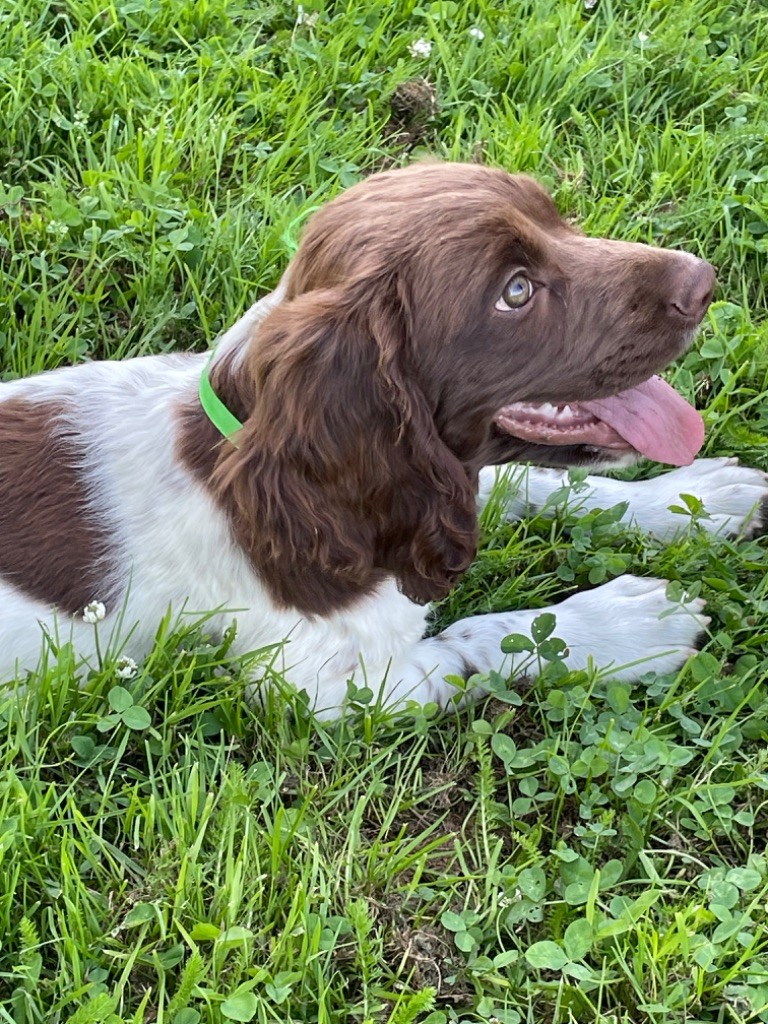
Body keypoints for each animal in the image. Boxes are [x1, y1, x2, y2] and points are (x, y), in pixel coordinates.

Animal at [0, 163, 765, 716]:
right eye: (515, 292)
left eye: (558, 219)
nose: (702, 282)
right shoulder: (319, 683)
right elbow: (482, 639)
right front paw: (629, 622)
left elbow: (536, 481)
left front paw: (699, 497)